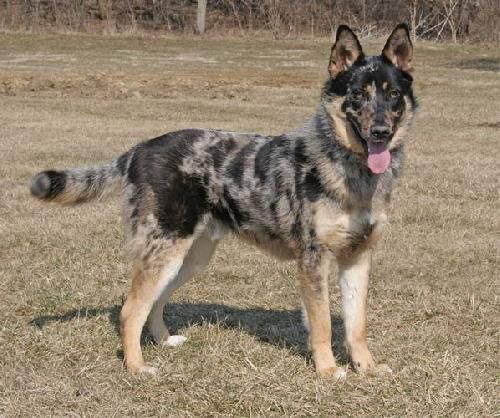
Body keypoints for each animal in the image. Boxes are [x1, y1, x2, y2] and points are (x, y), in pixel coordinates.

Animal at [29, 23, 416, 378]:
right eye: (358, 95)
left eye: (394, 94)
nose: (381, 132)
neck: (348, 168)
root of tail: (137, 150)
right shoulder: (313, 259)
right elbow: (322, 324)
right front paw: (327, 371)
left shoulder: (358, 258)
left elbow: (356, 325)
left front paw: (366, 367)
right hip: (166, 252)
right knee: (130, 310)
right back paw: (137, 367)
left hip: (188, 259)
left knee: (154, 303)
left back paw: (164, 340)